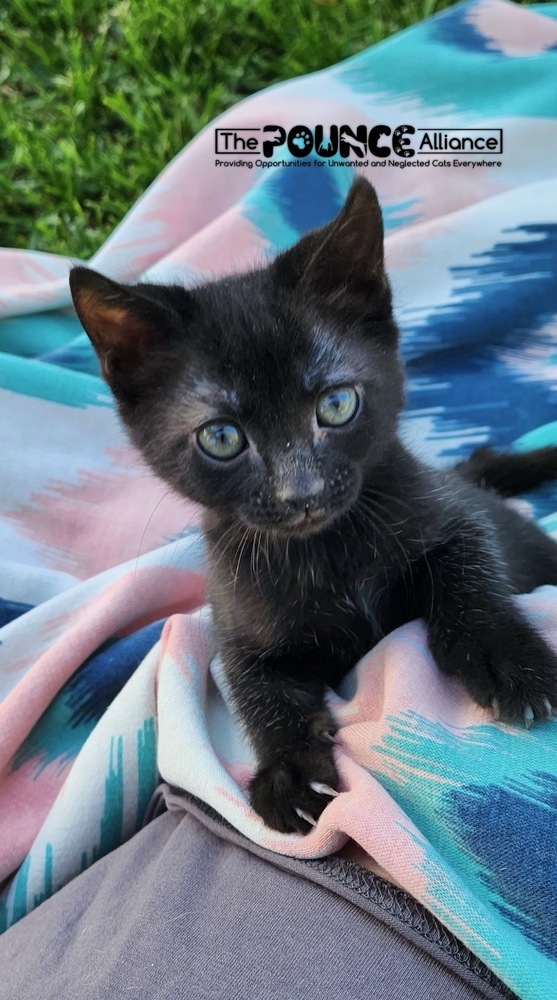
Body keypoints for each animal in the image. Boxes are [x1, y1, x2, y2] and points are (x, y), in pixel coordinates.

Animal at [69, 176, 556, 832]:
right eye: (221, 438)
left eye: (336, 405)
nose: (300, 494)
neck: (326, 554)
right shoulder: (236, 614)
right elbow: (253, 684)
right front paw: (292, 770)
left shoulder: (452, 514)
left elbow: (469, 570)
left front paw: (506, 657)